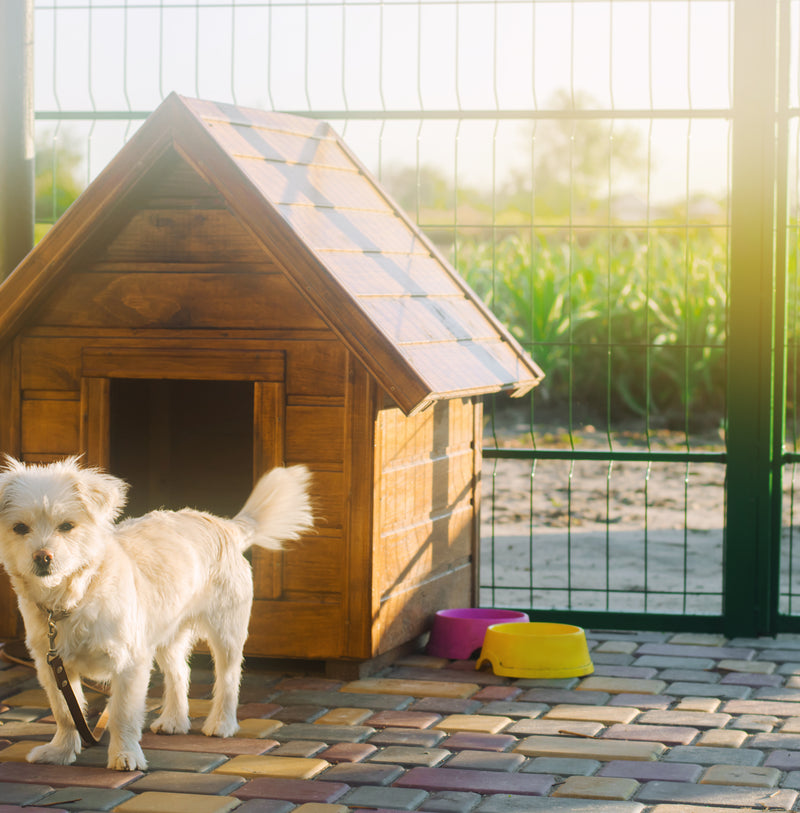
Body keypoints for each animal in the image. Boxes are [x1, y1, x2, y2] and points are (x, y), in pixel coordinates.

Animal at [0, 456, 314, 768]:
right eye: (20, 528)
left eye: (67, 526)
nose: (42, 557)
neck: (75, 596)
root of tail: (224, 525)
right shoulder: (53, 667)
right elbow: (65, 713)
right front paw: (60, 751)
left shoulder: (129, 663)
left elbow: (122, 714)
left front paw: (125, 755)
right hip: (167, 634)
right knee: (180, 673)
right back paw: (174, 720)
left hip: (226, 632)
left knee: (228, 676)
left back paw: (222, 723)